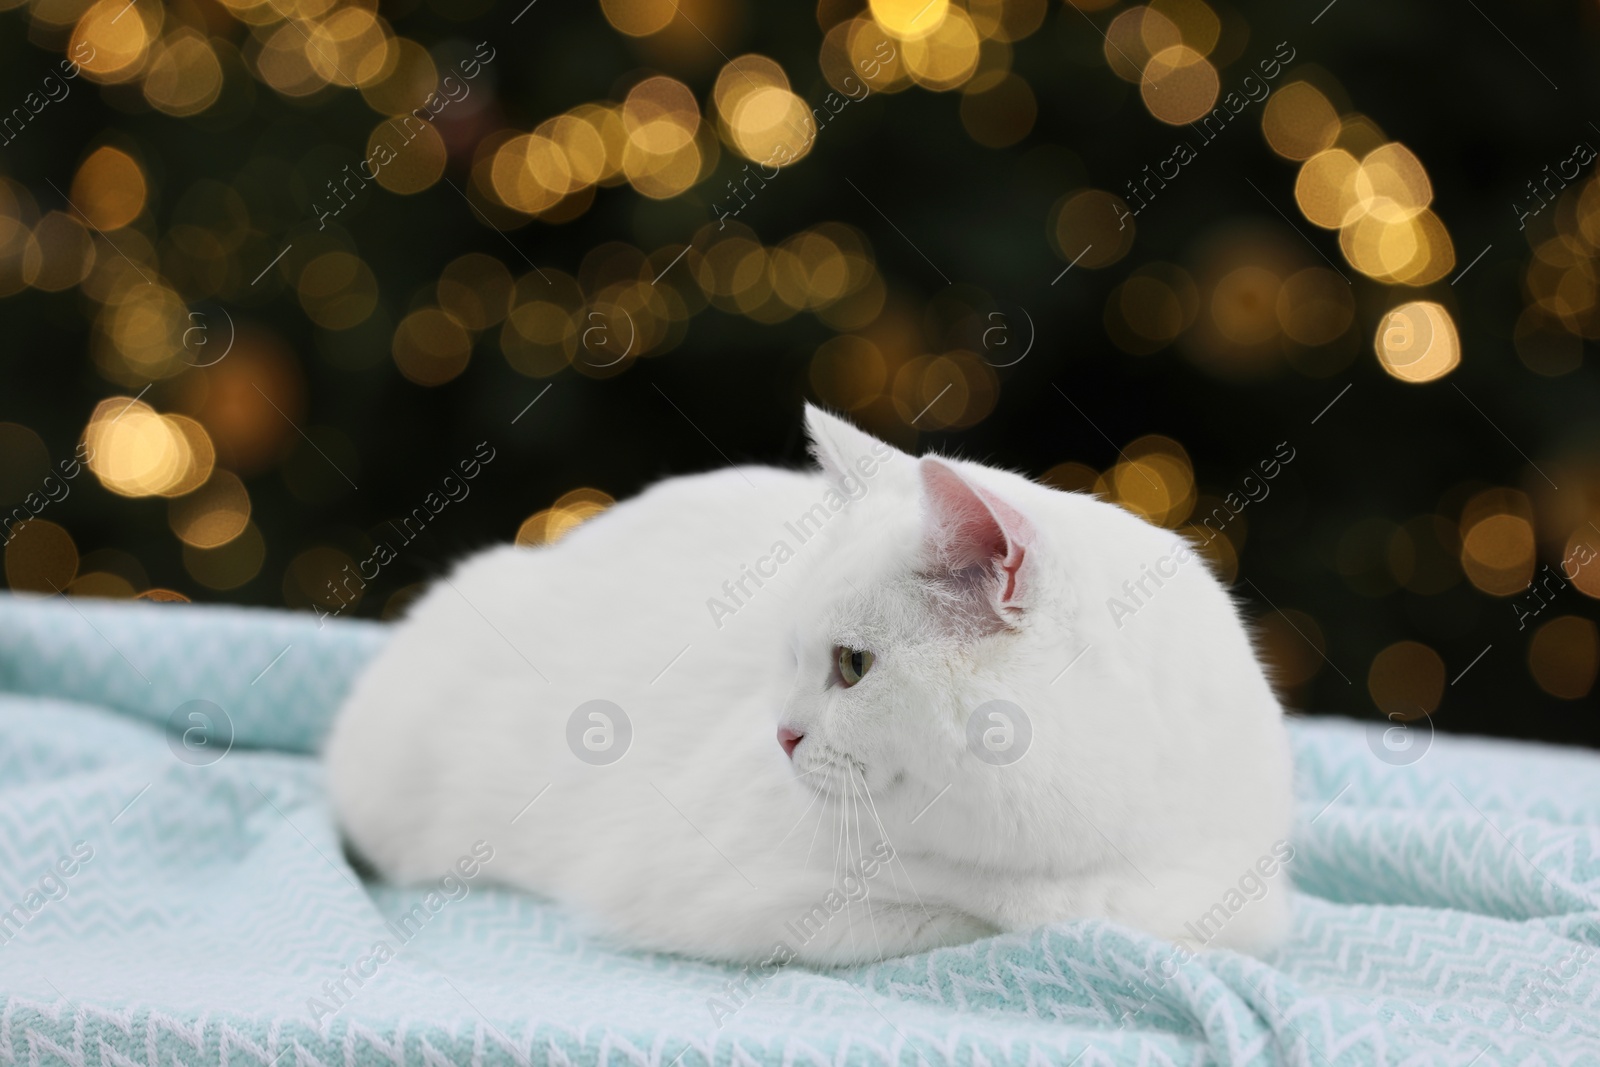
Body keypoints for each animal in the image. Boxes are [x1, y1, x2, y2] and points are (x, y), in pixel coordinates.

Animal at [321, 403, 1286, 966]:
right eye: (785, 657)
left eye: (853, 666)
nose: (780, 734)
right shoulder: (719, 893)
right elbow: (968, 915)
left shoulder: (1242, 908)